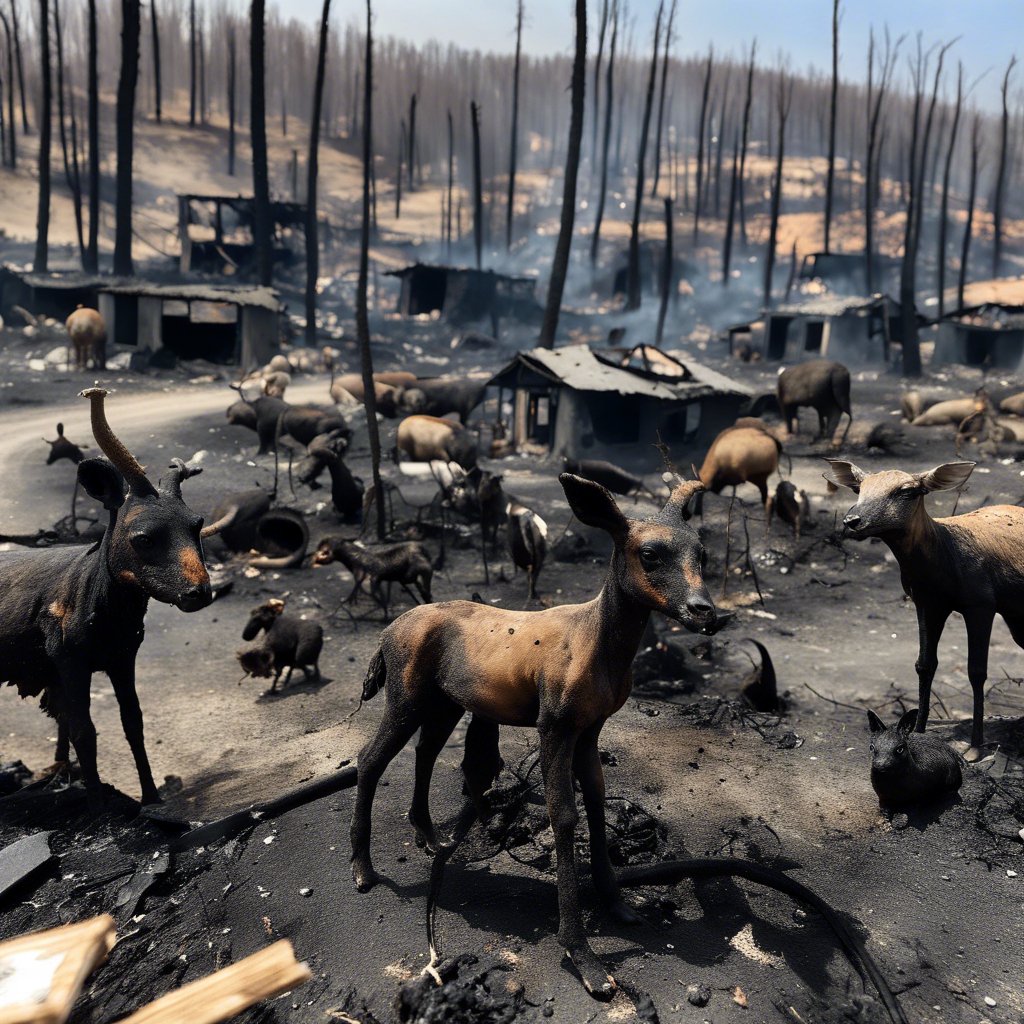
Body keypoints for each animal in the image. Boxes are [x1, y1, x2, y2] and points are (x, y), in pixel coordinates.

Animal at [0, 387, 228, 802]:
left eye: (197, 525)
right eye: (144, 538)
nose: (200, 592)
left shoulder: (123, 660)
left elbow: (133, 723)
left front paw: (152, 797)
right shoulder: (70, 664)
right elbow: (84, 732)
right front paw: (97, 801)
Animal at [352, 473, 720, 999]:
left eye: (703, 553)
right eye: (649, 554)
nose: (705, 612)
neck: (596, 642)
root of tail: (387, 631)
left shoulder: (590, 730)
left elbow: (597, 799)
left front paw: (619, 904)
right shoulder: (554, 725)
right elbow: (563, 815)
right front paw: (584, 957)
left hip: (444, 703)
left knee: (424, 751)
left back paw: (429, 836)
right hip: (404, 698)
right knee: (370, 760)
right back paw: (363, 869)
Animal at [823, 460, 1024, 749]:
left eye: (907, 491)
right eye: (858, 489)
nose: (852, 521)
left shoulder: (981, 602)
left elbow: (976, 671)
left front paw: (975, 745)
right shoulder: (926, 602)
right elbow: (924, 664)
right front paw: (918, 730)